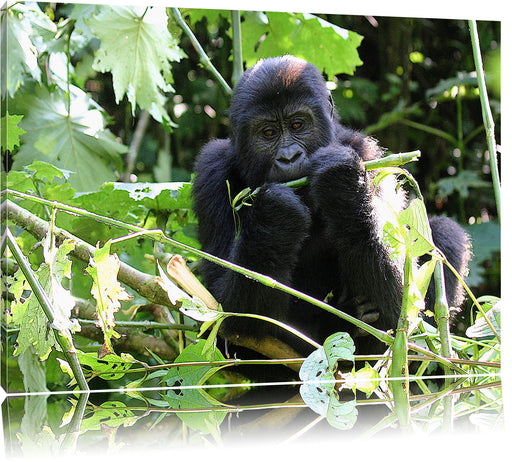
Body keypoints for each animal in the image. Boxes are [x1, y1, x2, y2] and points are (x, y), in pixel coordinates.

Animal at [193, 54, 472, 354]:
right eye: (268, 133)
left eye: (297, 125)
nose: (289, 157)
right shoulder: (211, 170)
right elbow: (224, 312)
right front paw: (275, 216)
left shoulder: (367, 154)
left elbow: (401, 308)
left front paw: (341, 184)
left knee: (443, 233)